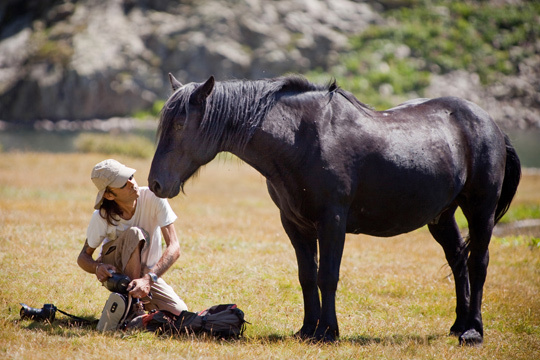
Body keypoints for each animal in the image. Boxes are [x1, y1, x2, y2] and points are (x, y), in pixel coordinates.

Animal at [150, 72, 520, 344]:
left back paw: (473, 331)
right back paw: (458, 324)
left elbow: (327, 276)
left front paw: (328, 331)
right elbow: (306, 276)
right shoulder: (294, 224)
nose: (155, 184)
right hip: (441, 215)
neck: (303, 140)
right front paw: (307, 329)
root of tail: (491, 125)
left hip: (480, 210)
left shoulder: (333, 221)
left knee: (478, 263)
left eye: (180, 125)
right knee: (458, 260)